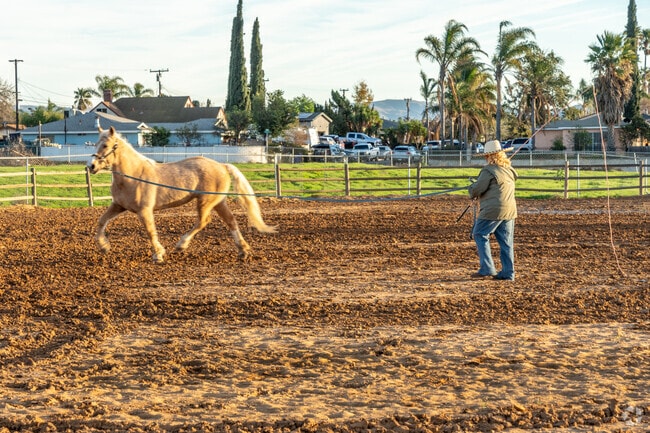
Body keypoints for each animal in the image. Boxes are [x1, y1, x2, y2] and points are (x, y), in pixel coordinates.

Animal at [86, 126, 277, 263]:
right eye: (95, 144)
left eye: (105, 145)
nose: (91, 166)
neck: (133, 175)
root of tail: (222, 166)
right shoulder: (118, 205)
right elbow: (101, 221)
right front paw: (103, 246)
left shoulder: (145, 210)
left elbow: (150, 231)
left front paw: (159, 255)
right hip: (218, 202)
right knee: (230, 221)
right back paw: (243, 250)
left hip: (205, 202)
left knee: (203, 221)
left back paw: (181, 245)